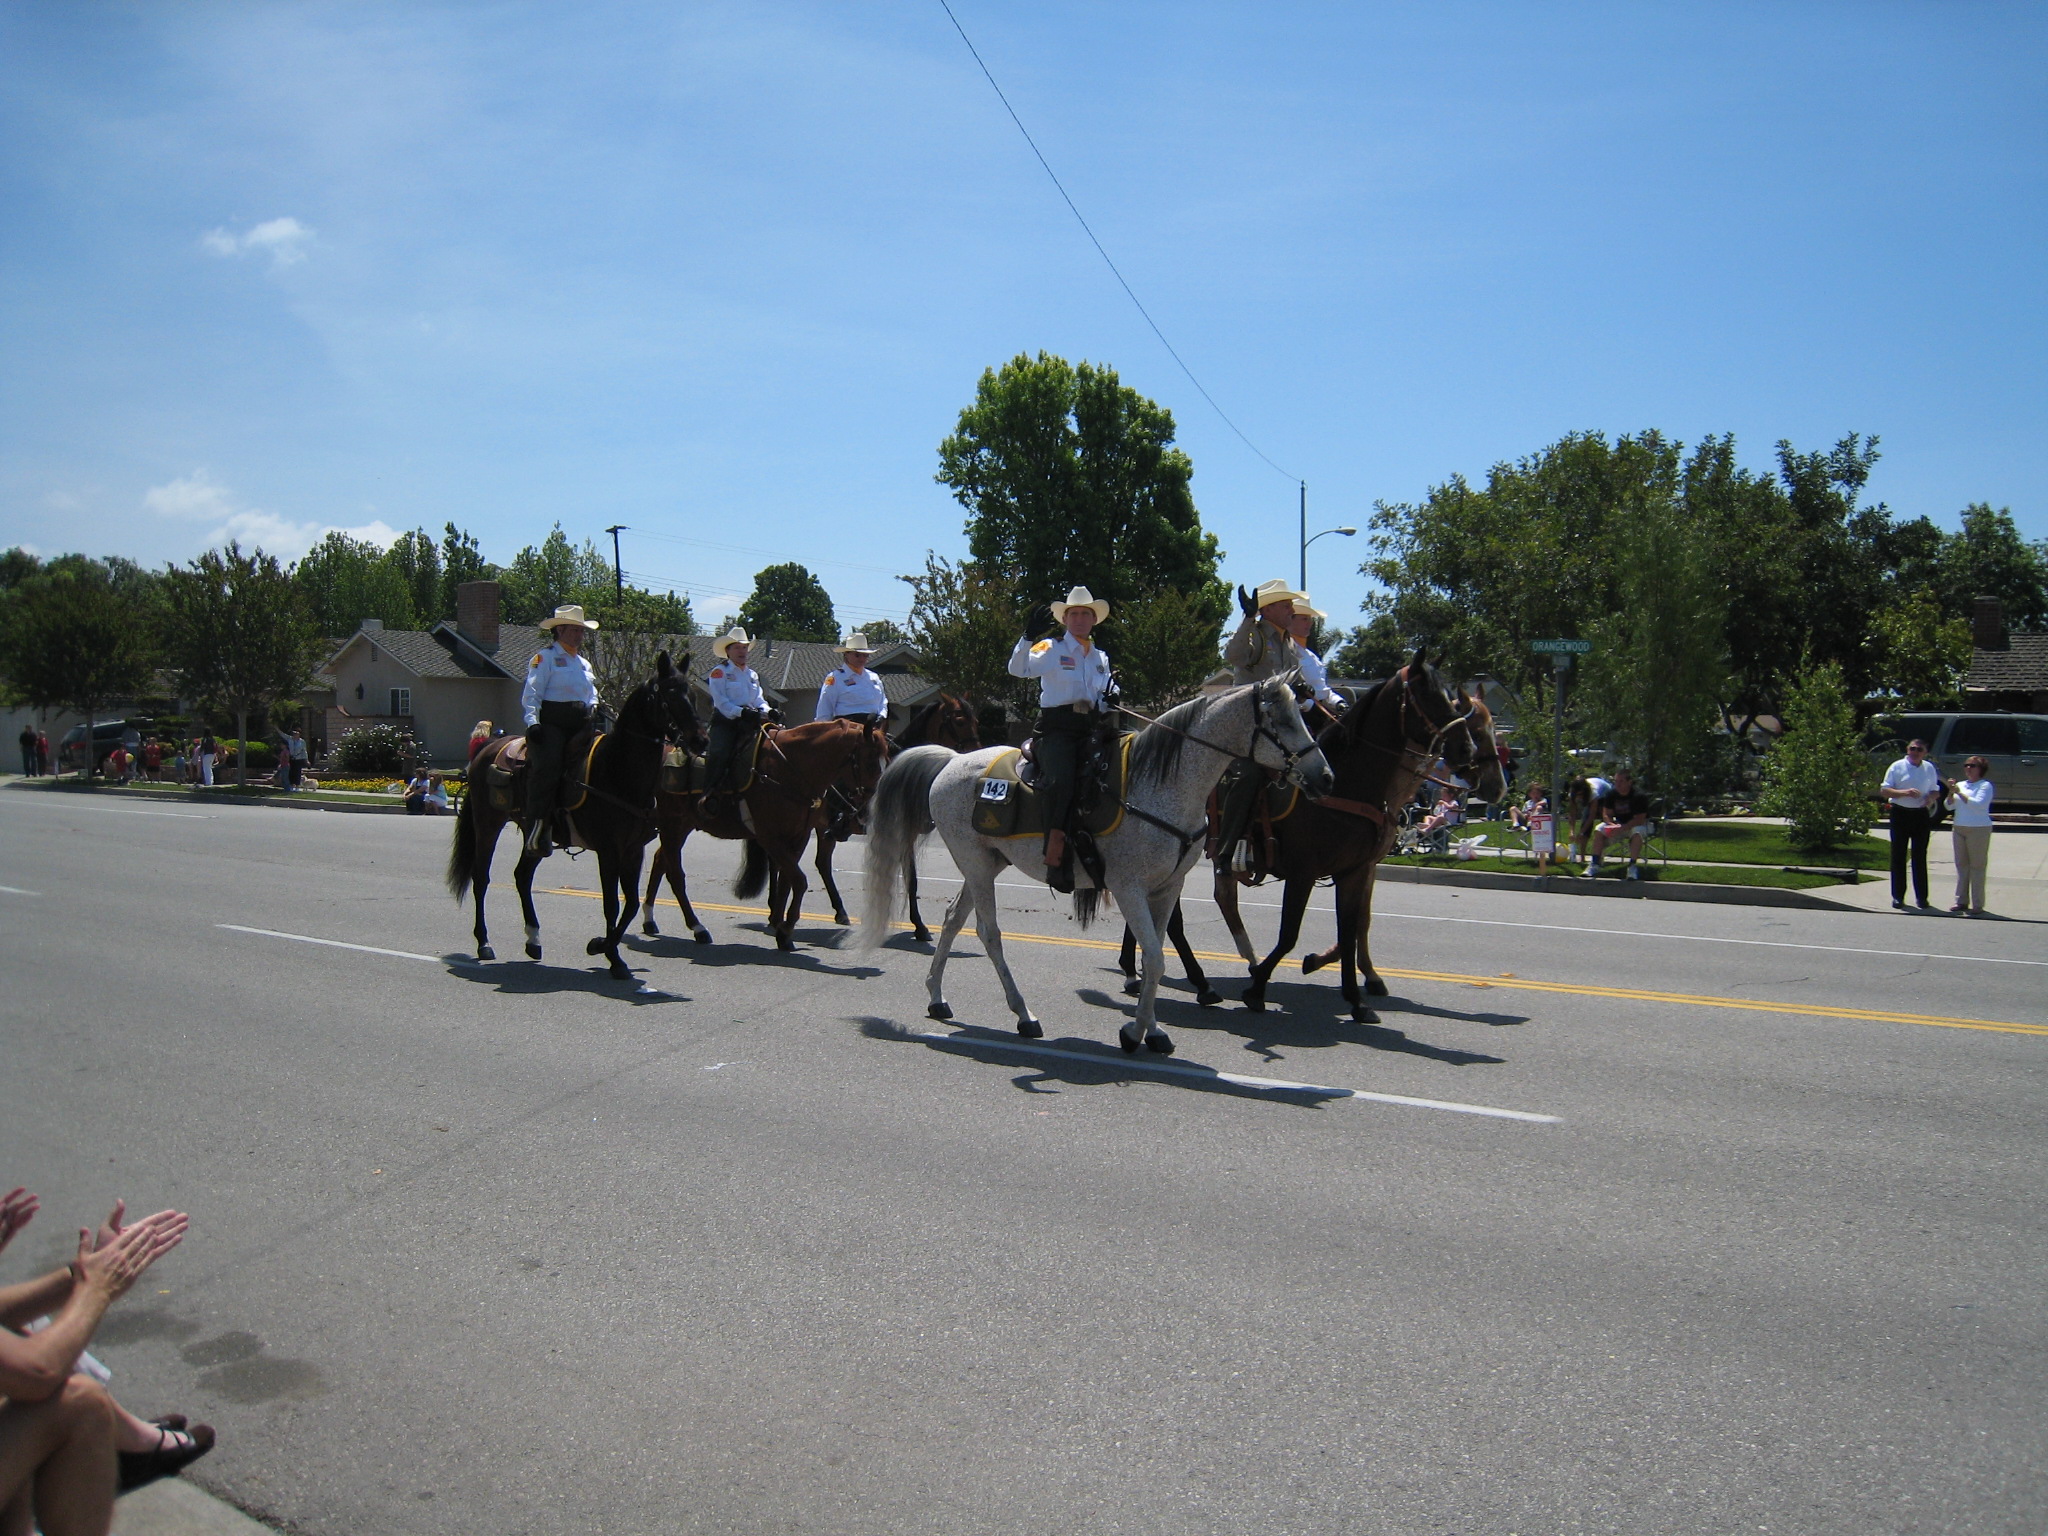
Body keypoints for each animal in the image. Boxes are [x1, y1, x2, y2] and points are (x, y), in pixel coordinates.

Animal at [448, 655, 704, 978]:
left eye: (693, 695)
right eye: (670, 694)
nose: (701, 740)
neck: (617, 770)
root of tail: (486, 748)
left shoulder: (633, 849)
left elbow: (631, 904)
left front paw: (601, 946)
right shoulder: (608, 850)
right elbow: (612, 905)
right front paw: (613, 958)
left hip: (535, 836)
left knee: (522, 876)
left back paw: (533, 940)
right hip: (487, 823)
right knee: (481, 877)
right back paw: (484, 943)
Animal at [638, 720, 888, 950]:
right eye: (870, 762)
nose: (870, 811)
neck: (789, 770)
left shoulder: (798, 837)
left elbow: (789, 881)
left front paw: (781, 927)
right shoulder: (770, 837)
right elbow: (799, 881)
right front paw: (785, 930)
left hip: (682, 825)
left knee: (660, 861)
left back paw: (649, 919)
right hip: (673, 824)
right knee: (675, 875)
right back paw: (697, 928)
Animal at [860, 684, 1327, 1056]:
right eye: (1282, 720)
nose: (1324, 776)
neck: (1161, 784)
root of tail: (951, 761)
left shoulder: (1166, 888)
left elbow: (1153, 959)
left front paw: (1152, 1031)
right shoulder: (1128, 887)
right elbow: (1154, 959)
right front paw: (1134, 1034)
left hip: (985, 864)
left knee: (953, 919)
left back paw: (936, 997)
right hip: (974, 863)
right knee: (988, 933)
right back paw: (1023, 1014)